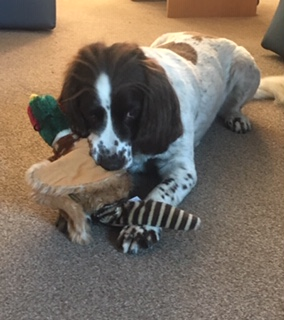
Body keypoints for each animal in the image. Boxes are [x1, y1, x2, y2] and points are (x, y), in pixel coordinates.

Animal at [58, 31, 282, 252]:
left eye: (131, 113)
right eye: (91, 113)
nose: (111, 163)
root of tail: (208, 34)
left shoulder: (181, 168)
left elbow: (161, 194)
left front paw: (140, 228)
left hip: (247, 66)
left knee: (233, 106)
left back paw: (236, 117)